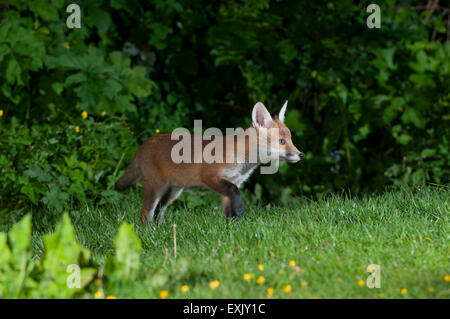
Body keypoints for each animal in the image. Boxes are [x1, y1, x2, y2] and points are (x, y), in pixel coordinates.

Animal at [114, 101, 304, 224]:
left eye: (291, 139)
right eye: (281, 141)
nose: (301, 155)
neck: (242, 158)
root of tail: (143, 144)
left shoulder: (233, 181)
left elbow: (228, 210)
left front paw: (232, 228)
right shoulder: (211, 177)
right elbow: (235, 194)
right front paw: (240, 212)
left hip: (172, 192)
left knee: (159, 212)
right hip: (156, 188)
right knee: (146, 212)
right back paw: (147, 234)